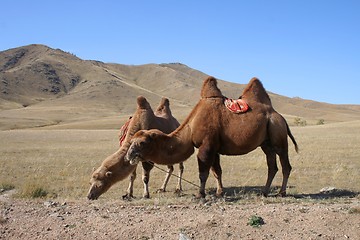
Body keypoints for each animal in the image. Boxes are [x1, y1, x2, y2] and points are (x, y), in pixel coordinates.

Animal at [125, 77, 300, 199]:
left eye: (141, 143)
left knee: (286, 165)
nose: (129, 155)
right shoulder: (214, 148)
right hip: (266, 143)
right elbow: (217, 171)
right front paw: (219, 192)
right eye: (131, 141)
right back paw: (264, 191)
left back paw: (281, 193)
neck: (190, 128)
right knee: (272, 166)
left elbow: (203, 172)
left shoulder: (206, 145)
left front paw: (200, 194)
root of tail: (280, 117)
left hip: (278, 136)